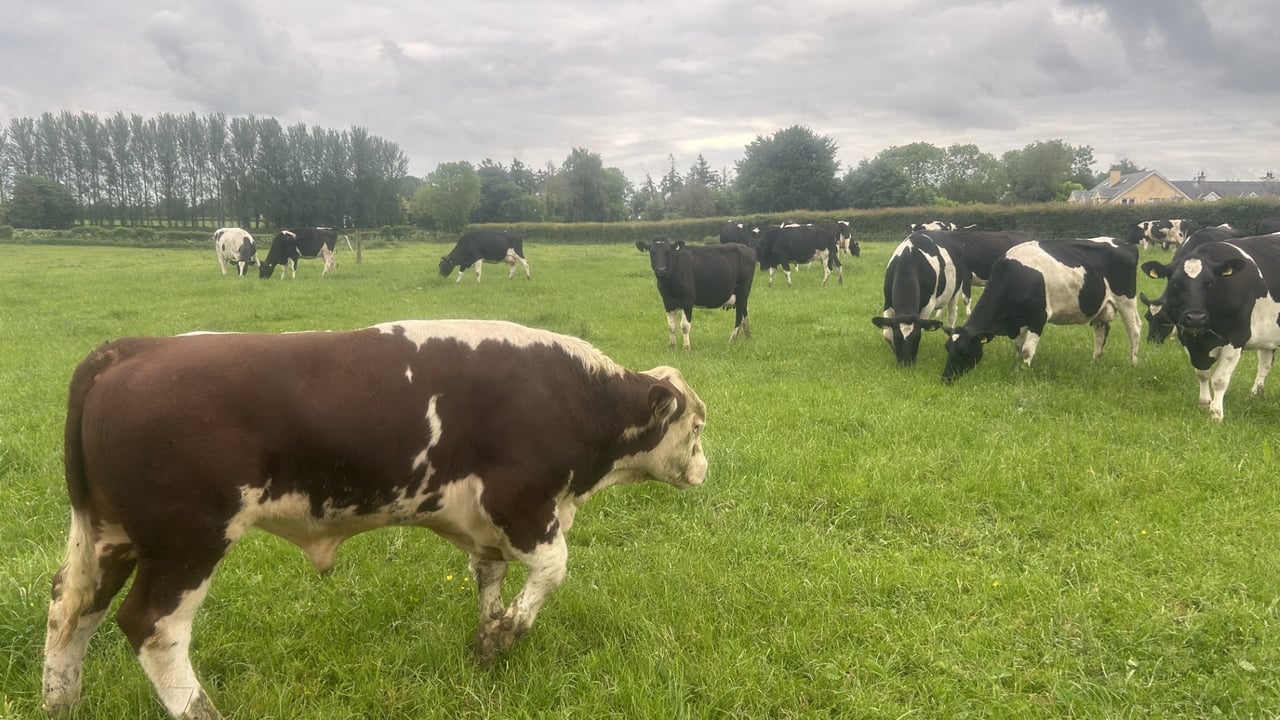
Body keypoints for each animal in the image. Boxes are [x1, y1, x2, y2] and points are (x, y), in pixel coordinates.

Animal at [41, 319, 708, 719]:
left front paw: (486, 642)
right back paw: (198, 708)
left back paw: (60, 702)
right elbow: (552, 571)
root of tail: (134, 348)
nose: (706, 467)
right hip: (188, 539)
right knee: (152, 627)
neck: (575, 397)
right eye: (698, 424)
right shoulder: (522, 504)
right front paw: (505, 635)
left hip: (109, 536)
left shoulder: (486, 526)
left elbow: (488, 580)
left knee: (70, 608)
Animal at [871, 232, 969, 366]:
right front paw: (893, 350)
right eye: (897, 337)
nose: (906, 363)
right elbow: (886, 333)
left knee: (952, 315)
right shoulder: (887, 302)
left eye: (917, 338)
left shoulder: (928, 305)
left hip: (956, 290)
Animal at [941, 237, 1141, 384]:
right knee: (1101, 332)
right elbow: (1018, 347)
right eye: (947, 347)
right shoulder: (1017, 322)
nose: (945, 378)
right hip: (1100, 307)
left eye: (964, 351)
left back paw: (1133, 363)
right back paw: (1094, 362)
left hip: (1127, 300)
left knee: (1135, 330)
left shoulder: (1038, 317)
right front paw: (1017, 365)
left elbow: (1027, 350)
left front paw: (1023, 372)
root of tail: (1125, 244)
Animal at [1141, 236, 1280, 420]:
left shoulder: (1237, 338)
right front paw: (1204, 404)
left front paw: (1216, 413)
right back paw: (1255, 395)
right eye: (1176, 283)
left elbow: (1220, 380)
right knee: (1265, 362)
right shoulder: (1188, 339)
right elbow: (1202, 374)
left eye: (1210, 283)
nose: (1195, 317)